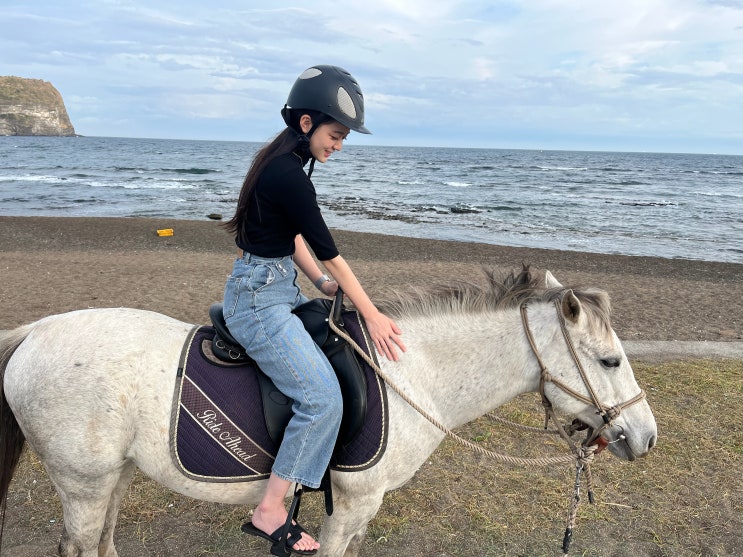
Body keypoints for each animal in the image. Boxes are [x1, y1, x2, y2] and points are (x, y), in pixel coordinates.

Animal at [0, 268, 656, 552]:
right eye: (609, 360)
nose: (645, 436)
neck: (410, 374)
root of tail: (36, 333)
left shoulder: (362, 509)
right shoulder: (353, 504)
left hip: (113, 477)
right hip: (83, 485)